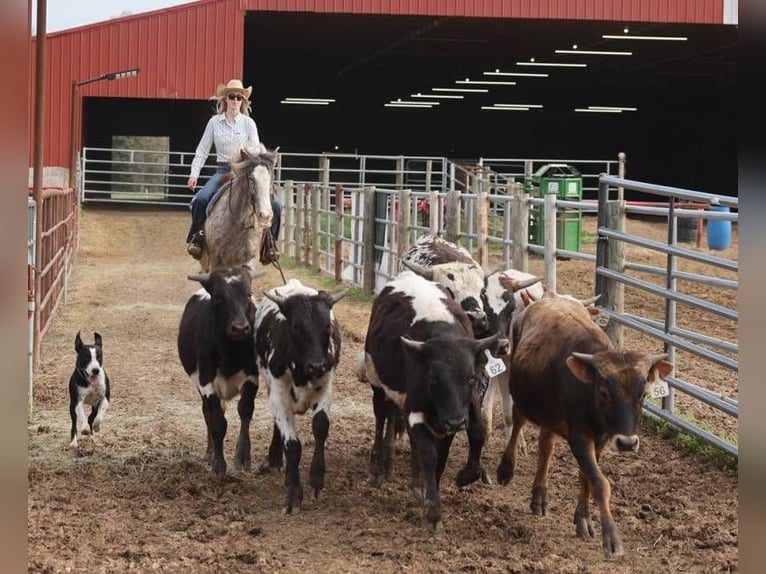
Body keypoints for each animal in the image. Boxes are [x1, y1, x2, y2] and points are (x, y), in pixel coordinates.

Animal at [177, 266, 260, 476]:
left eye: (248, 294)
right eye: (217, 296)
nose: (240, 328)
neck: (230, 350)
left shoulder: (252, 377)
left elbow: (245, 411)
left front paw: (242, 457)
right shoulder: (207, 383)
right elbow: (217, 422)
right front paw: (218, 464)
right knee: (207, 413)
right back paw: (210, 451)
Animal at [200, 145, 278, 274]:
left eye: (271, 178)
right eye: (251, 178)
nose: (265, 216)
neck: (238, 223)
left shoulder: (250, 259)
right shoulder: (217, 261)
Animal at [254, 278, 350, 512]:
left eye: (327, 326)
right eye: (297, 326)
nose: (317, 365)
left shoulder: (326, 387)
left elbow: (320, 426)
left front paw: (316, 478)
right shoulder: (279, 397)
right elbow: (293, 445)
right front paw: (294, 494)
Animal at [364, 270, 500, 532]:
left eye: (470, 377)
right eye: (433, 378)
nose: (455, 422)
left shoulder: (465, 406)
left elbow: (475, 433)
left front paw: (462, 476)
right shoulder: (416, 410)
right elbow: (429, 454)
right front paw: (433, 511)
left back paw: (417, 483)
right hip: (378, 385)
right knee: (380, 417)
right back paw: (377, 468)